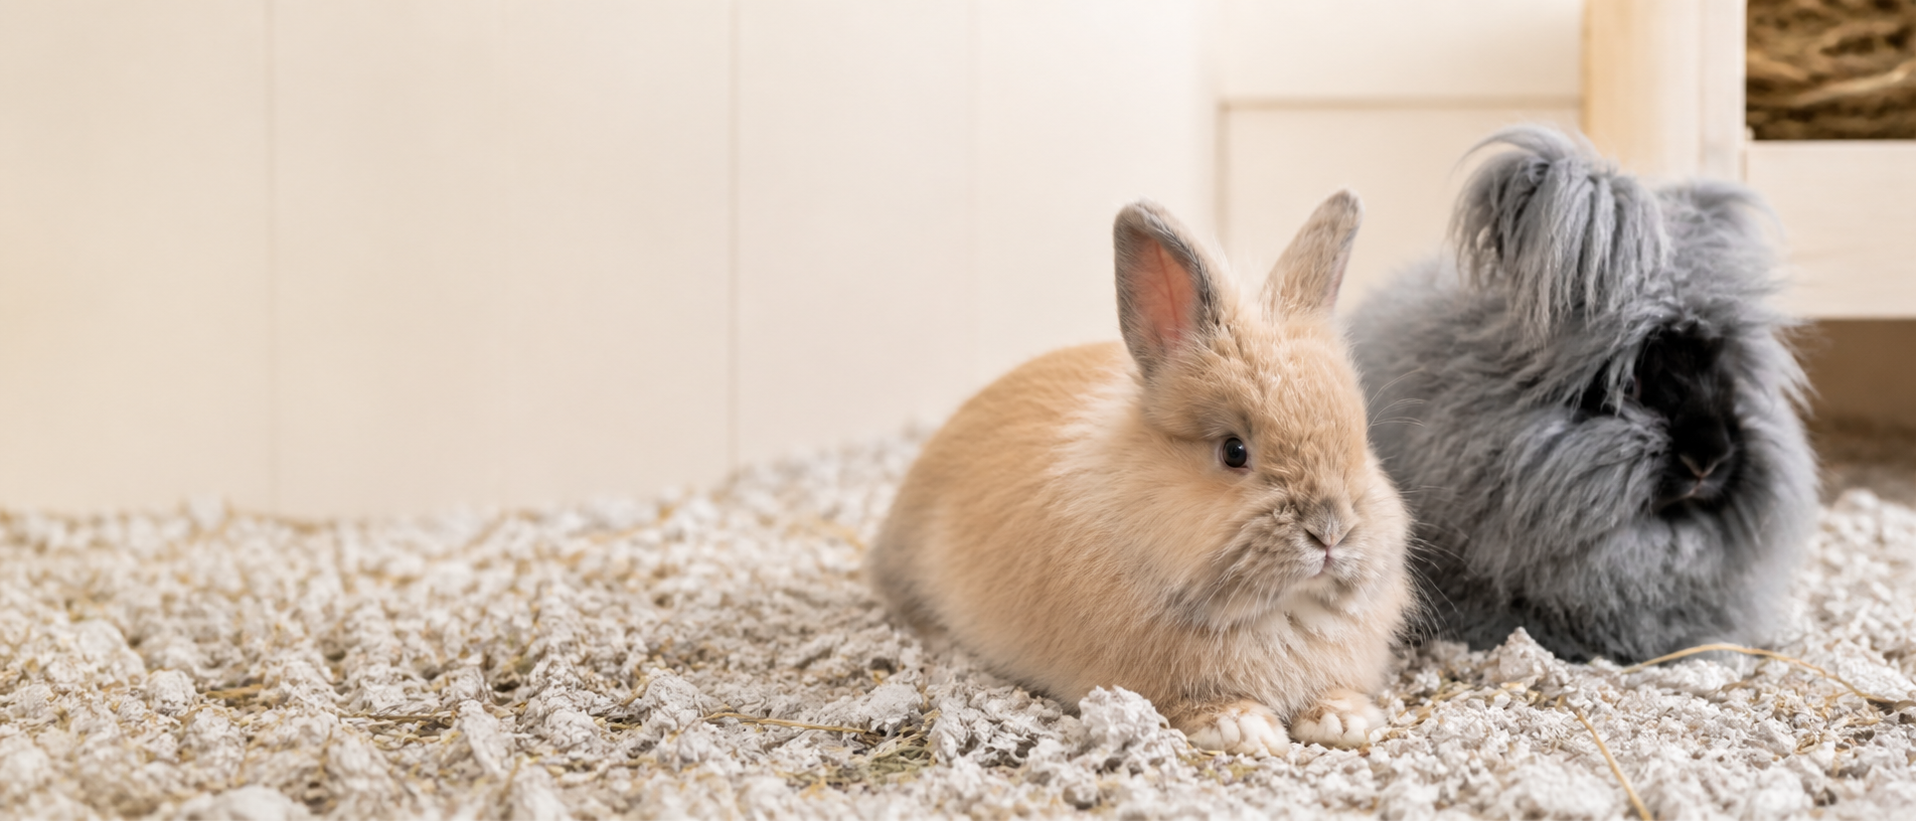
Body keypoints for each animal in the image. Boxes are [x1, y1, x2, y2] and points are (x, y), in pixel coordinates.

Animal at [868, 192, 1414, 755]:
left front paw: (1344, 720)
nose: (1331, 533)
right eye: (1234, 451)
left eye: (1362, 441)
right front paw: (1244, 727)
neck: (1279, 611)